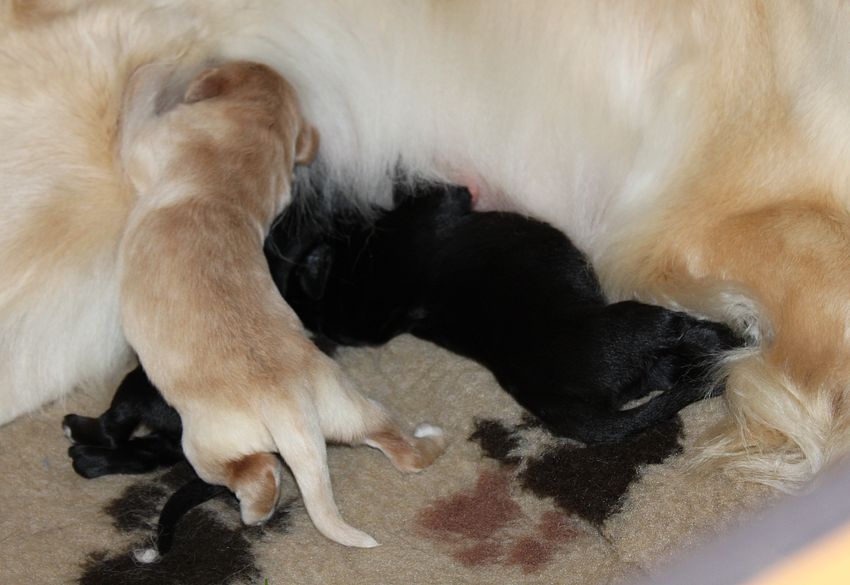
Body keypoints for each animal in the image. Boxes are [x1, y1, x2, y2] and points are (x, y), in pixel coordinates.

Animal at [116, 60, 446, 548]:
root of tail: (291, 409)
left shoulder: (148, 140)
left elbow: (135, 108)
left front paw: (149, 71)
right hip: (352, 406)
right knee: (402, 451)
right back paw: (431, 439)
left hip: (205, 445)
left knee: (259, 474)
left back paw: (255, 511)